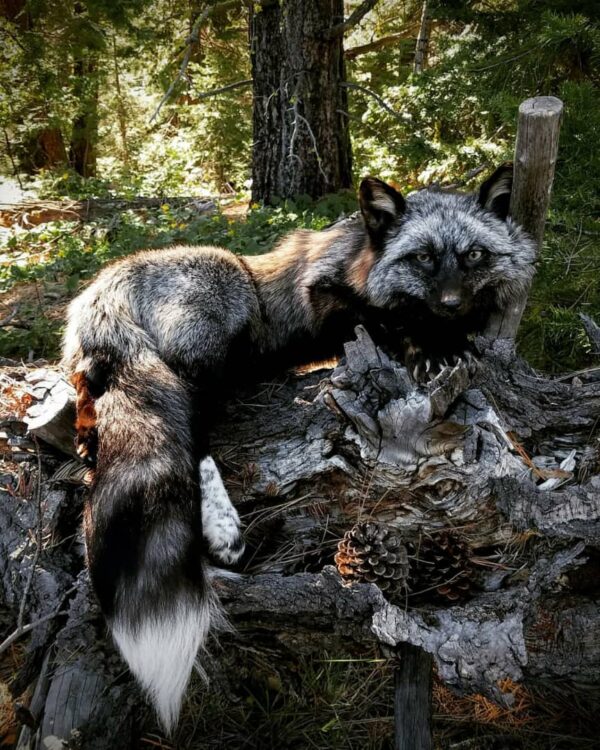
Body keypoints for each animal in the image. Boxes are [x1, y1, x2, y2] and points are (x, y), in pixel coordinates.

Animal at [62, 164, 535, 731]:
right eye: (422, 257)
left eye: (474, 255)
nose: (451, 304)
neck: (361, 257)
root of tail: (103, 290)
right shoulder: (325, 298)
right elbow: (386, 320)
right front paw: (431, 345)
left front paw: (451, 340)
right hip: (224, 308)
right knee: (196, 436)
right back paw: (225, 532)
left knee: (90, 405)